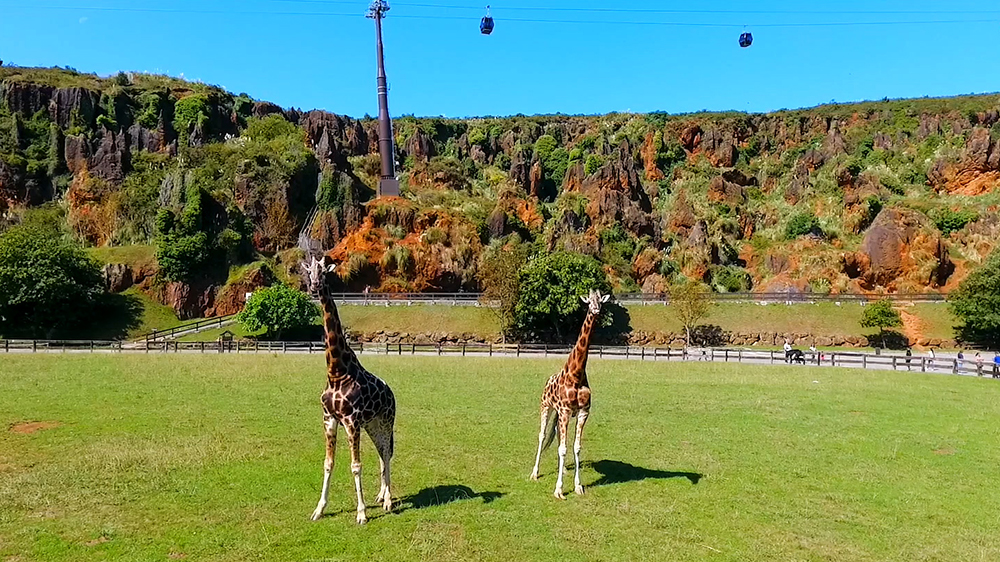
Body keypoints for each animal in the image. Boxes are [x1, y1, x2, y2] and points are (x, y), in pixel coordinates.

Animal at [300, 256, 398, 524]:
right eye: (308, 272)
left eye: (324, 271)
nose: (315, 286)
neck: (336, 371)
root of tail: (391, 392)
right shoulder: (329, 419)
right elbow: (328, 463)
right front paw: (319, 509)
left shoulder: (351, 421)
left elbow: (356, 465)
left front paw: (362, 513)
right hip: (372, 424)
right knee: (381, 452)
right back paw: (381, 495)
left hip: (386, 420)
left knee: (387, 452)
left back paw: (388, 501)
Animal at [532, 286, 608, 496]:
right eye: (588, 301)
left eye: (601, 300)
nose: (596, 310)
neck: (577, 374)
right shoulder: (565, 411)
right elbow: (563, 448)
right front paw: (559, 490)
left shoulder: (582, 412)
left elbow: (575, 447)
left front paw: (578, 486)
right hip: (546, 406)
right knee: (542, 435)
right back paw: (534, 473)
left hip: (560, 413)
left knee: (558, 435)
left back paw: (564, 469)